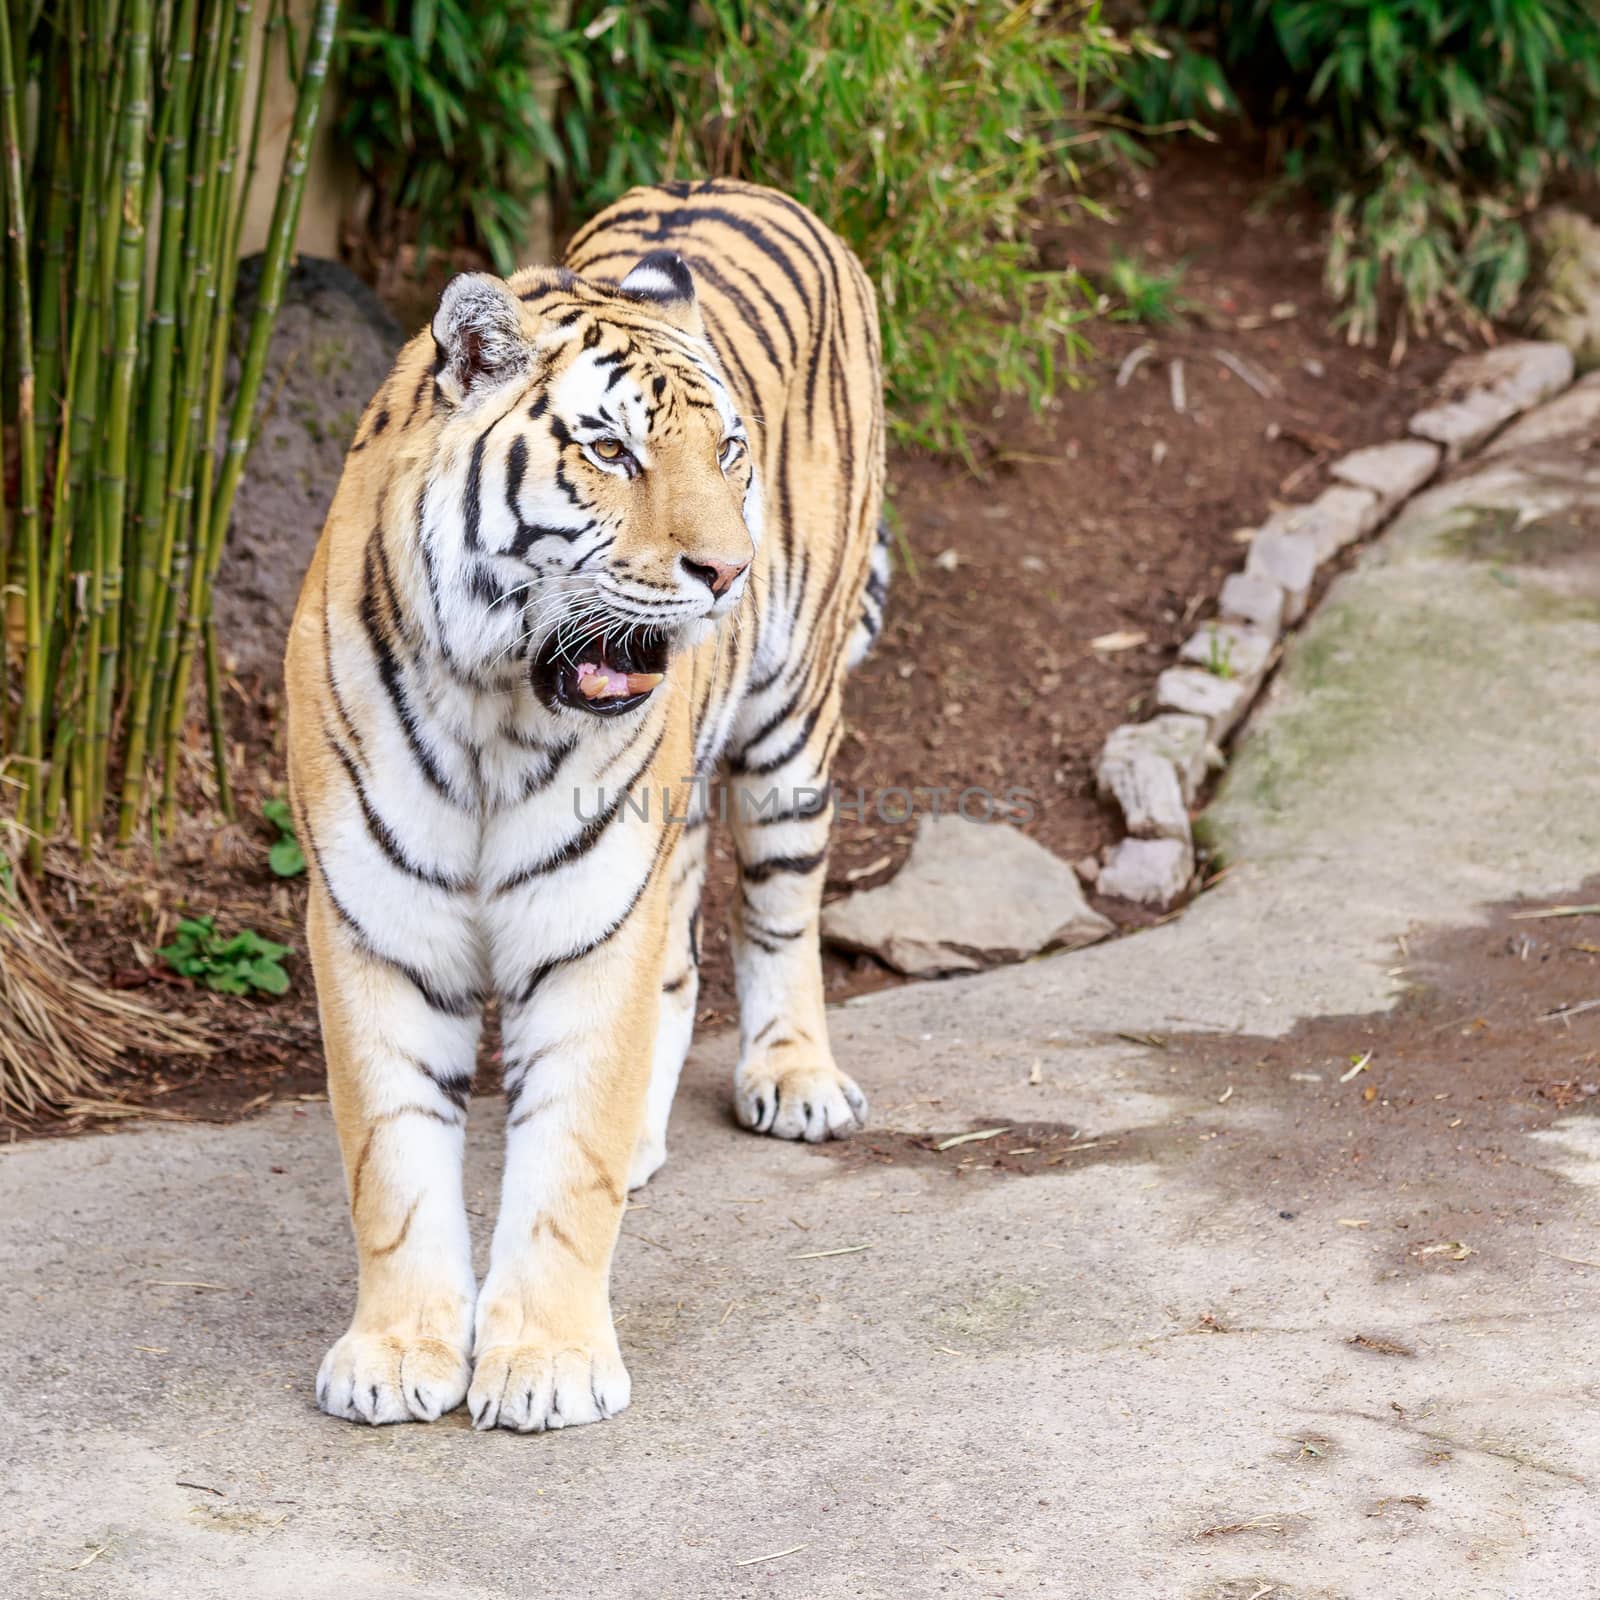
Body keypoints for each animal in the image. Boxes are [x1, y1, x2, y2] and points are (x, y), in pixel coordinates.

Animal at [284, 181, 889, 1433]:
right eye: (609, 450)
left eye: (729, 451)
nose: (728, 571)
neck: (491, 706)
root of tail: (742, 182)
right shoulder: (373, 922)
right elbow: (392, 1161)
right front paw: (399, 1353)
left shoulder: (590, 916)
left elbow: (563, 1164)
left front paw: (547, 1364)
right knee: (683, 958)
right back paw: (649, 1135)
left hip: (789, 725)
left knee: (779, 911)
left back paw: (795, 1077)